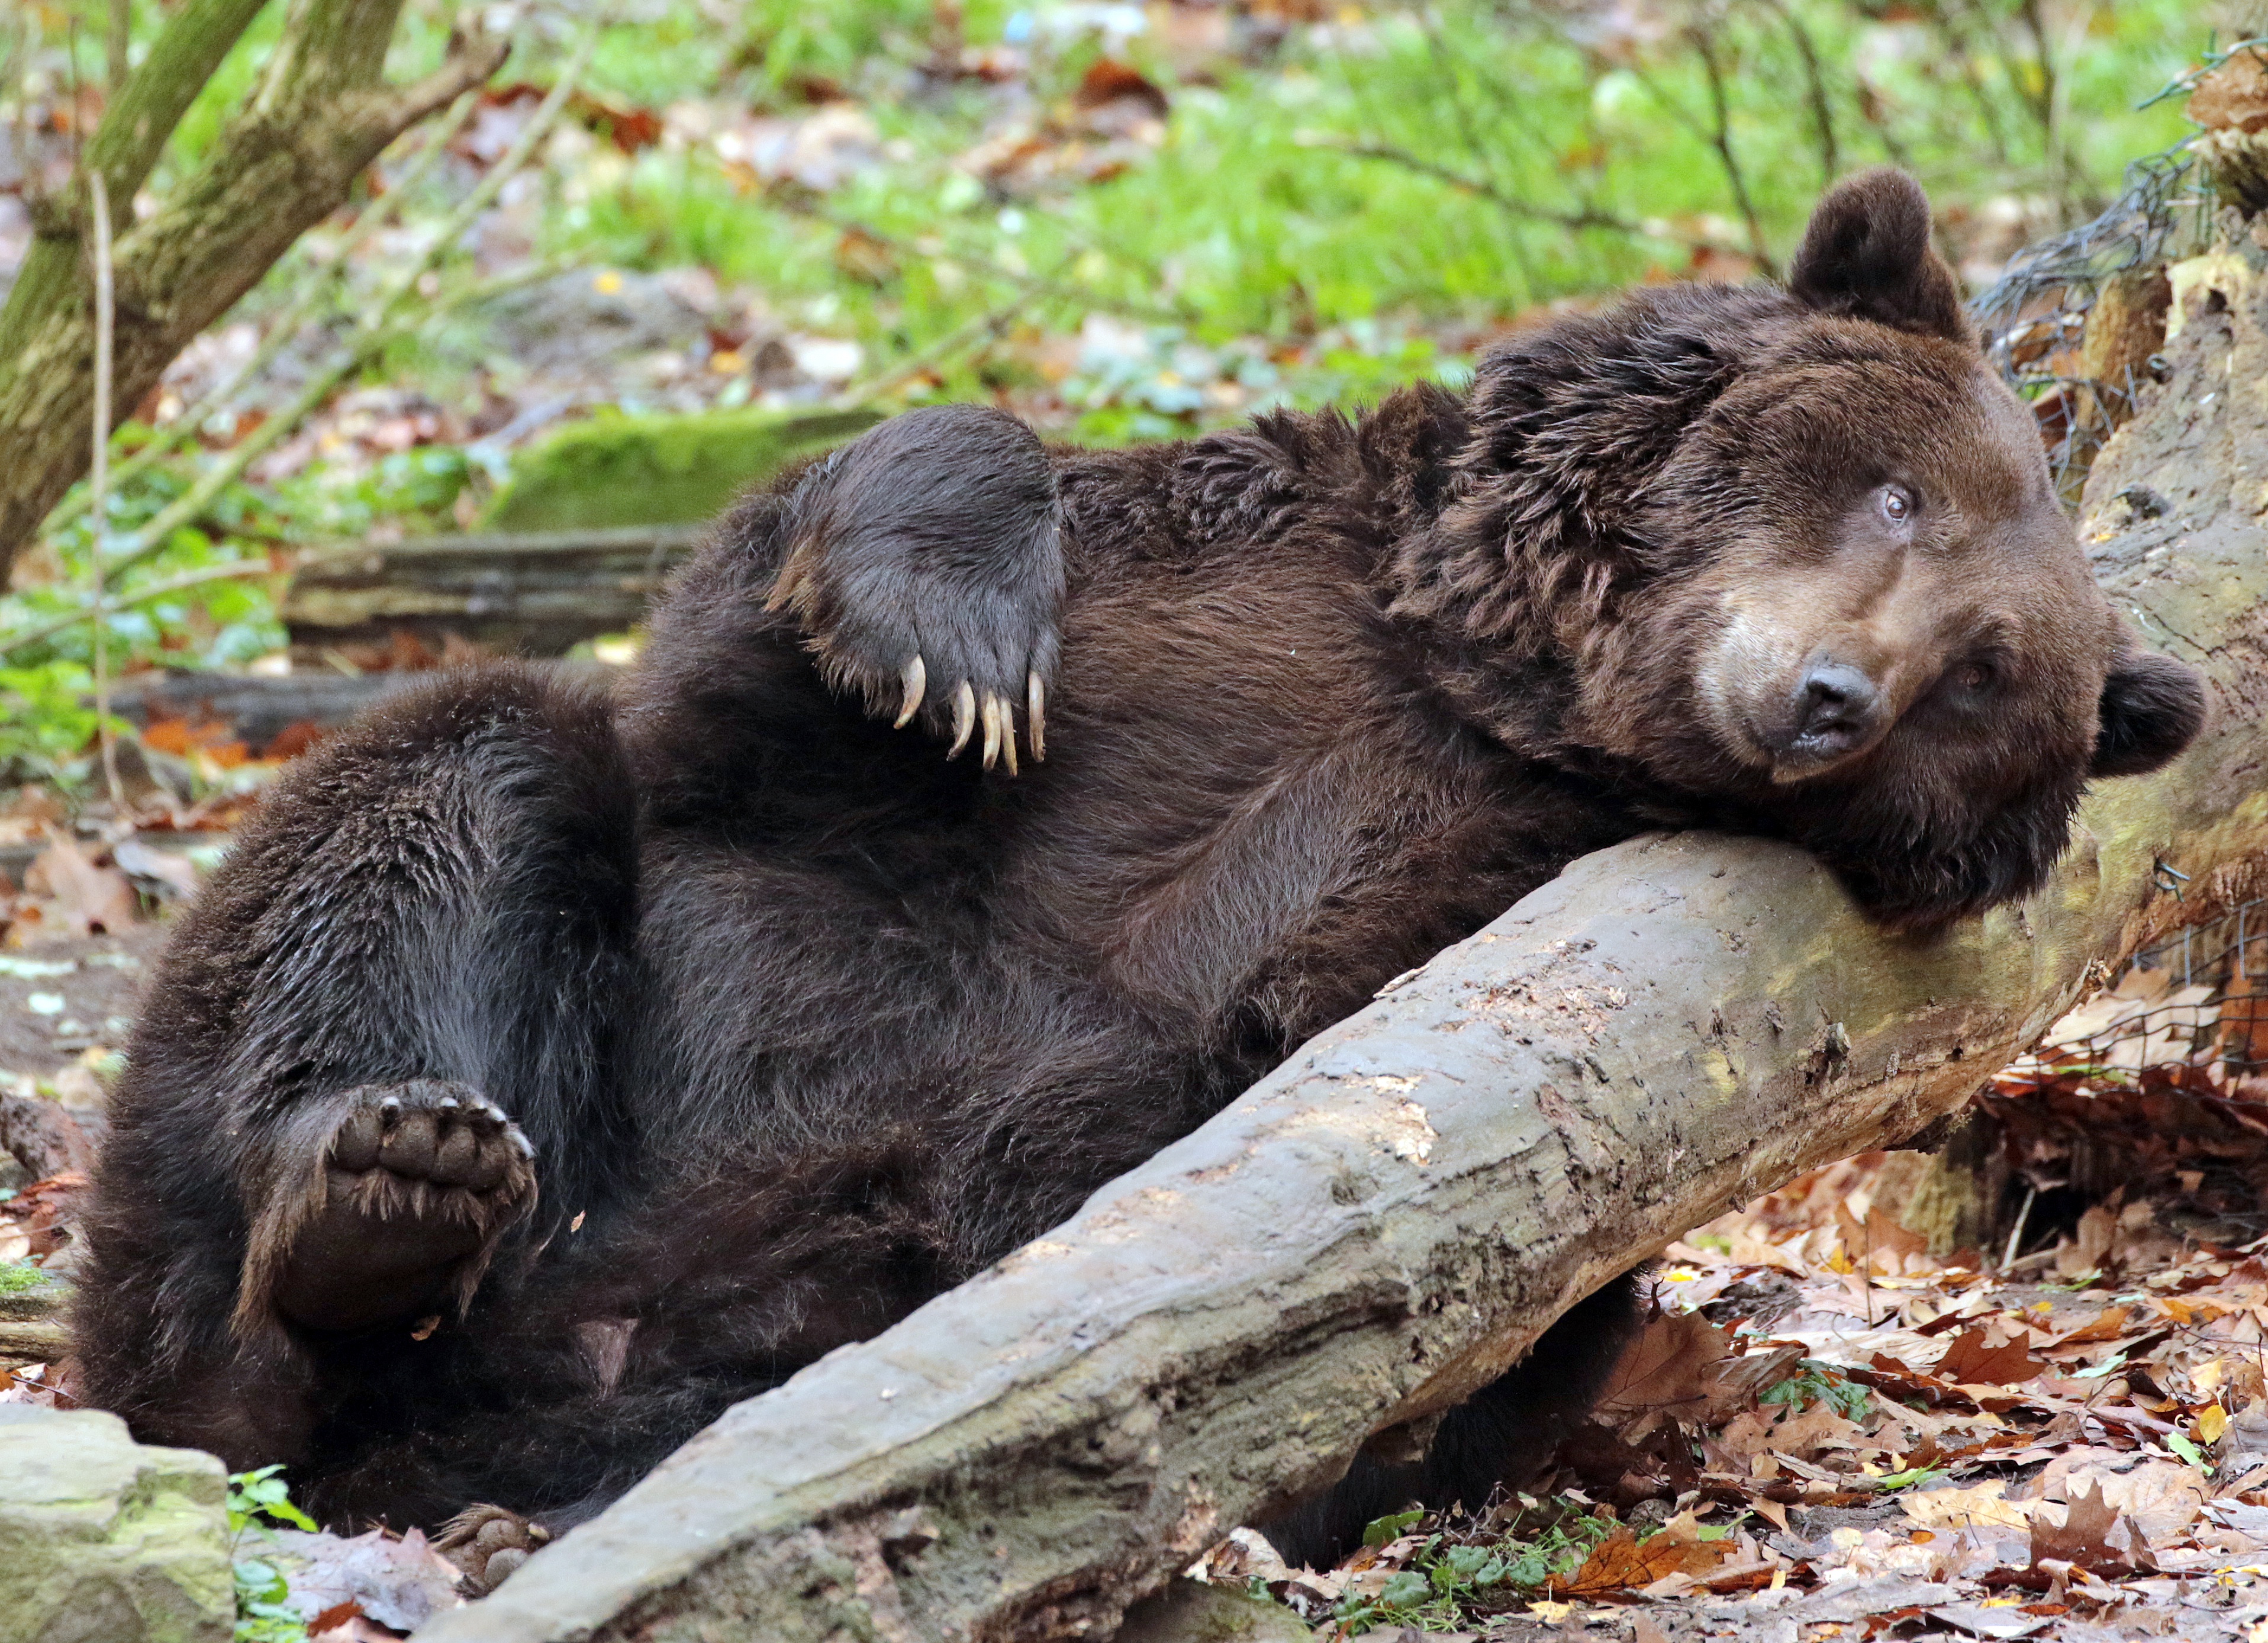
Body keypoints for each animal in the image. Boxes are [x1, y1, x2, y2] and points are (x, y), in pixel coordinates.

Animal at [70, 170, 2195, 1579]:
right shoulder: (1198, 609)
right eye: (1896, 488)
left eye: (1987, 668)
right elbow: (794, 662)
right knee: (461, 788)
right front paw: (946, 627)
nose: (1828, 698)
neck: (1503, 679)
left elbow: (1309, 1040)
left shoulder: (1476, 873)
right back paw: (378, 1179)